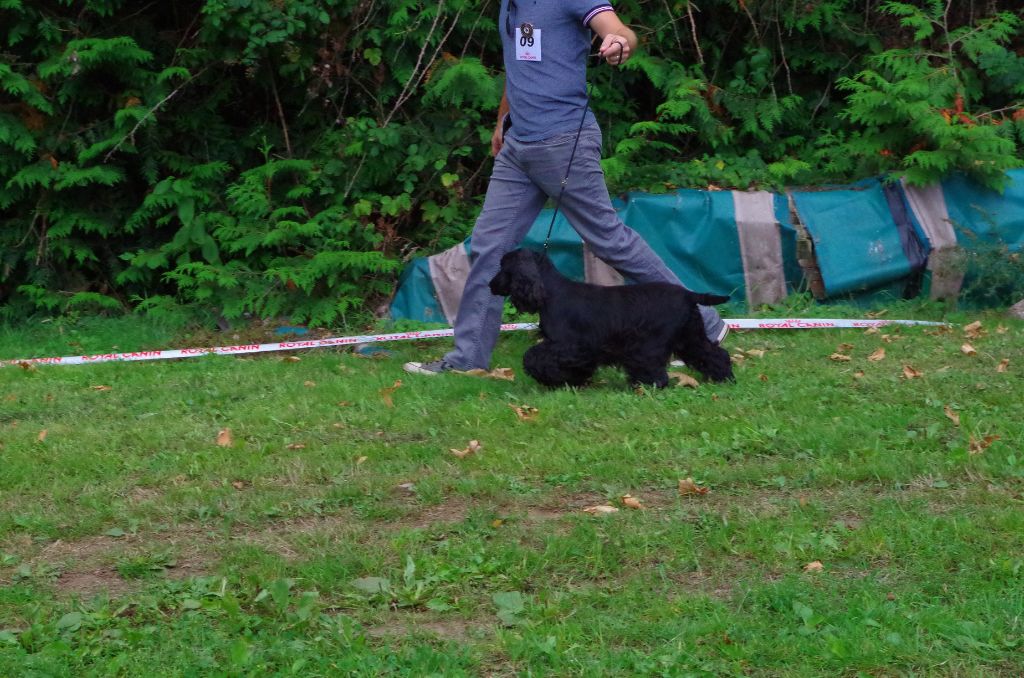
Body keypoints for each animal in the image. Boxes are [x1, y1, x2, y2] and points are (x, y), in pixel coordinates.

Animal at [488, 248, 734, 389]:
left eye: (502, 266)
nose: (490, 285)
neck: (551, 293)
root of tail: (688, 294)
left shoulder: (568, 345)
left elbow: (533, 356)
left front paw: (551, 379)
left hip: (649, 344)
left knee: (654, 370)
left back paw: (647, 386)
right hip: (690, 337)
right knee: (714, 354)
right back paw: (724, 378)